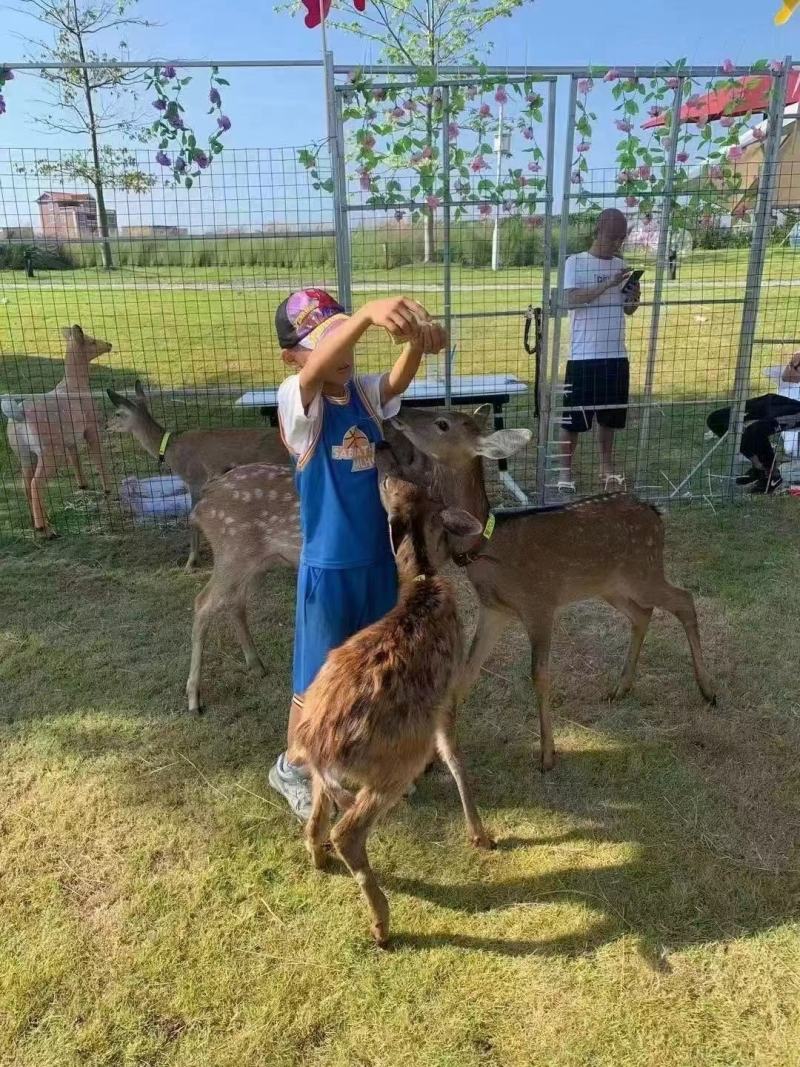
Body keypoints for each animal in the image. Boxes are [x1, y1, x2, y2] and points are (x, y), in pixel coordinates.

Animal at [1, 325, 113, 537]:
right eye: (92, 340)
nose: (109, 344)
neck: (76, 386)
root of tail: (19, 416)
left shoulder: (70, 439)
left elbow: (75, 458)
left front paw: (83, 484)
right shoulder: (91, 427)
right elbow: (99, 457)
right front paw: (108, 490)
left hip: (23, 452)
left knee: (25, 483)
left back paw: (41, 521)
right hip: (49, 451)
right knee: (35, 483)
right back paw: (44, 528)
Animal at [106, 381, 289, 570]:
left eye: (118, 413)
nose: (106, 425)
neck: (171, 451)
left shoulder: (195, 479)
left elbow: (192, 517)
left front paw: (190, 562)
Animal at [184, 460, 301, 714]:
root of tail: (201, 506)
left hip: (256, 563)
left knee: (235, 602)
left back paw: (256, 665)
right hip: (232, 553)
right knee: (202, 602)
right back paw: (194, 699)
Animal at [290, 440, 494, 948]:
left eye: (401, 477)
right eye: (386, 478)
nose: (381, 444)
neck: (422, 581)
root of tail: (317, 746)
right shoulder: (446, 693)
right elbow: (454, 755)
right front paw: (480, 834)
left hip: (335, 772)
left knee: (318, 813)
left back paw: (317, 857)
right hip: (393, 760)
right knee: (349, 830)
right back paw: (382, 924)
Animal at [383, 407, 717, 773]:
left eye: (443, 422)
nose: (399, 413)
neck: (487, 548)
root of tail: (656, 513)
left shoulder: (539, 602)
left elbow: (539, 674)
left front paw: (546, 754)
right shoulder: (495, 609)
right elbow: (467, 672)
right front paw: (431, 758)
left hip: (644, 571)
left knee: (684, 600)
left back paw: (708, 690)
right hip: (610, 585)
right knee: (643, 614)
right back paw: (620, 687)